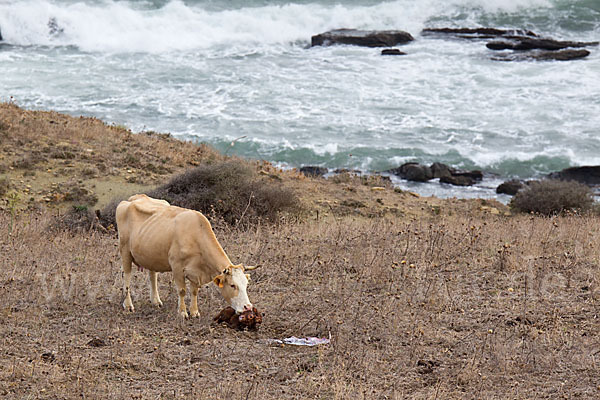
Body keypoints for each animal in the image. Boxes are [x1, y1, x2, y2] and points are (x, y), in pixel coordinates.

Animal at [116, 194, 256, 318]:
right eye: (232, 285)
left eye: (246, 284)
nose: (248, 307)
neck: (195, 235)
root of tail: (133, 198)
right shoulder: (177, 267)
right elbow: (182, 291)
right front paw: (182, 312)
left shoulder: (196, 271)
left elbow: (194, 291)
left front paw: (194, 312)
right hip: (125, 251)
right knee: (127, 276)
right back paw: (128, 305)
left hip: (150, 254)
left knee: (152, 276)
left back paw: (155, 301)